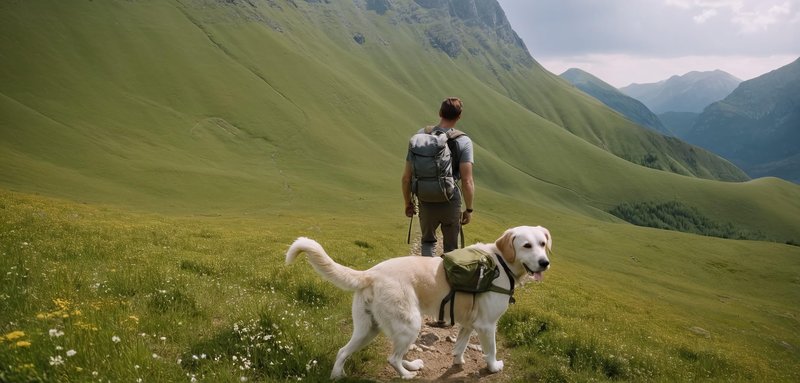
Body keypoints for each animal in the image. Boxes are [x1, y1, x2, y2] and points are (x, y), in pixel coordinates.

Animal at [284, 226, 552, 380]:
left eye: (542, 243)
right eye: (526, 245)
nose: (544, 262)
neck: (501, 263)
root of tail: (370, 273)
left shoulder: (469, 323)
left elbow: (460, 345)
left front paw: (458, 361)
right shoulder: (487, 326)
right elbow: (491, 350)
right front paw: (494, 367)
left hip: (368, 328)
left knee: (345, 351)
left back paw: (341, 374)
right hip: (409, 323)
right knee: (392, 358)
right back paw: (406, 374)